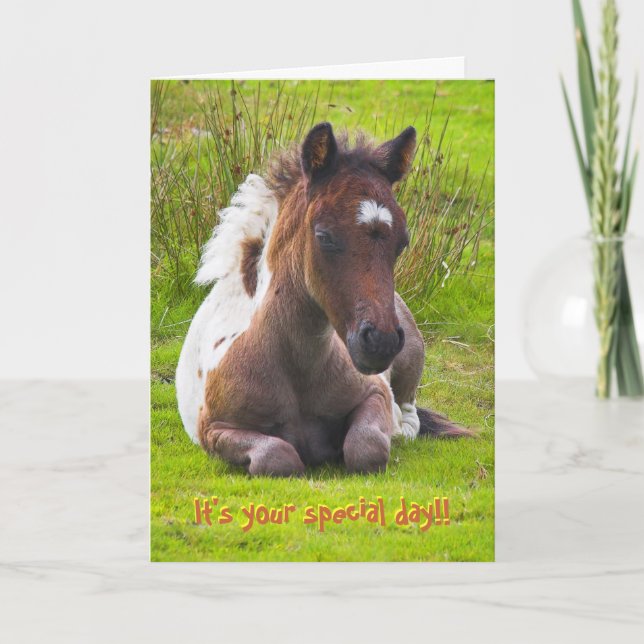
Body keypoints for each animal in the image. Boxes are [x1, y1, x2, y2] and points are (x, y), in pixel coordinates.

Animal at [176, 122, 471, 477]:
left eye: (402, 242)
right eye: (324, 236)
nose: (381, 342)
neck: (295, 368)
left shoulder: (375, 393)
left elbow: (366, 447)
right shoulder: (214, 429)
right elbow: (278, 457)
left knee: (409, 414)